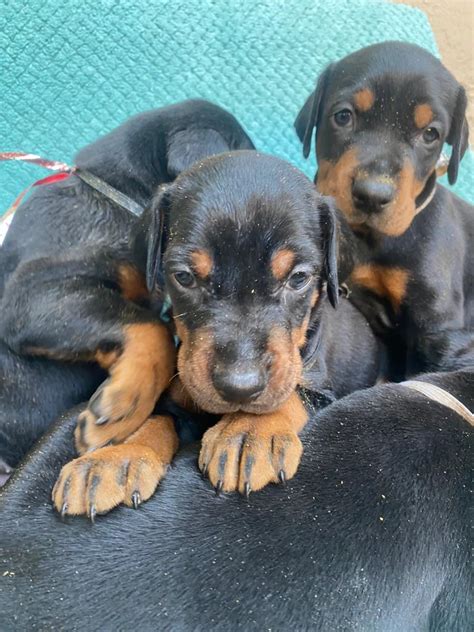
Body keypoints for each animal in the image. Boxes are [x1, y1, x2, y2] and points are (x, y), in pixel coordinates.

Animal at [45, 152, 382, 520]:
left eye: (298, 278)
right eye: (184, 277)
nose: (240, 387)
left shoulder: (322, 389)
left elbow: (291, 394)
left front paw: (248, 432)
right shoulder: (180, 396)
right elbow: (158, 419)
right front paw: (115, 460)